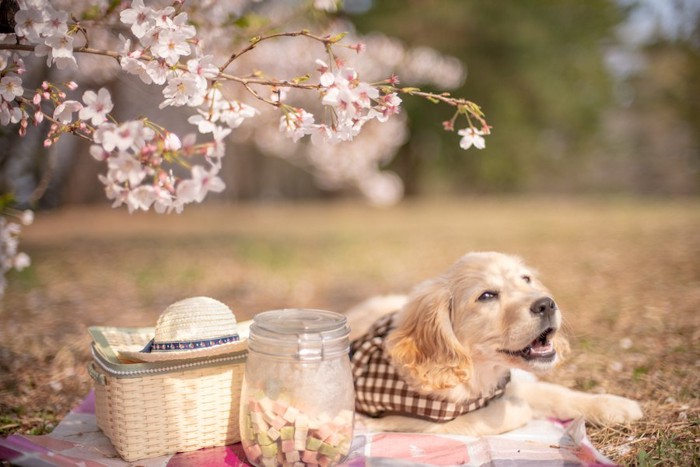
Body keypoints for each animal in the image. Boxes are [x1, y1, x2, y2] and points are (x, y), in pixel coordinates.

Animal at [348, 250, 644, 436]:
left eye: (526, 279)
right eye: (487, 296)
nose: (547, 304)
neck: (480, 373)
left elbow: (555, 393)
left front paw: (613, 405)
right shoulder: (397, 420)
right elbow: (488, 418)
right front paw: (517, 409)